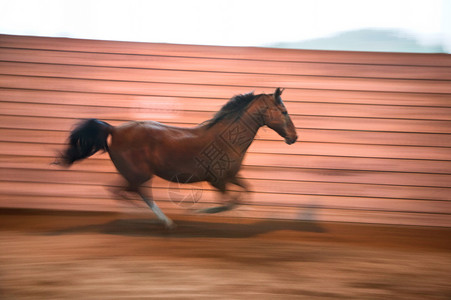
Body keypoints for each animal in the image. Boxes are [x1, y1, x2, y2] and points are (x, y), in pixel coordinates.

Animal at [54, 88, 296, 229]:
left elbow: (246, 193)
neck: (228, 139)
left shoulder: (231, 176)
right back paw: (161, 220)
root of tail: (113, 129)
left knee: (123, 191)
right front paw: (202, 211)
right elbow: (230, 202)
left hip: (133, 174)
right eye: (284, 111)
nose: (294, 137)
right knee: (133, 193)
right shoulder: (217, 181)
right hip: (139, 174)